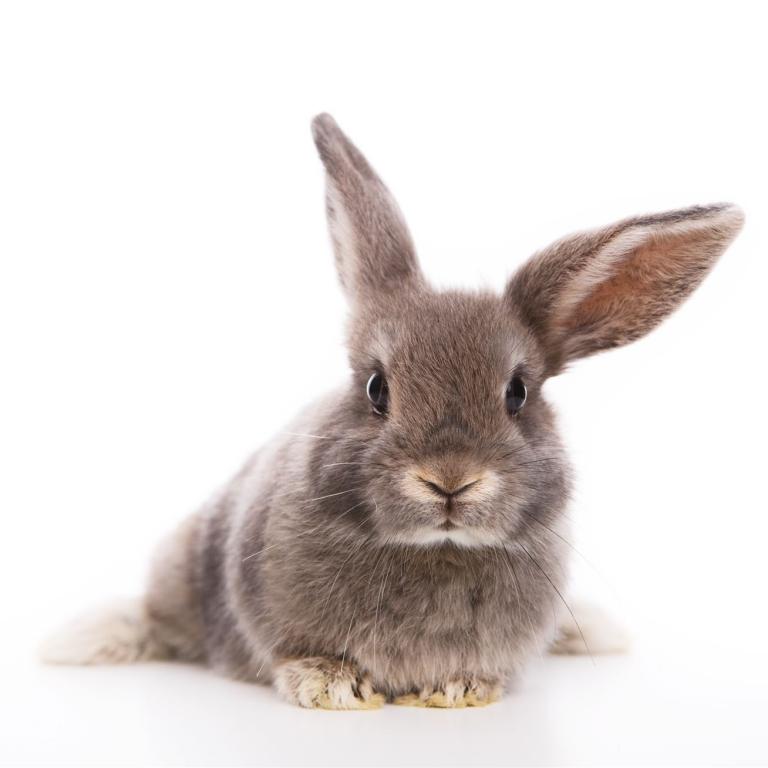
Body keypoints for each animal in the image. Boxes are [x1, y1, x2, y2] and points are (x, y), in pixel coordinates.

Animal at [41, 114, 744, 709]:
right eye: (377, 388)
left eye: (517, 393)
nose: (450, 480)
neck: (437, 549)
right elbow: (295, 655)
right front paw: (329, 685)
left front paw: (460, 689)